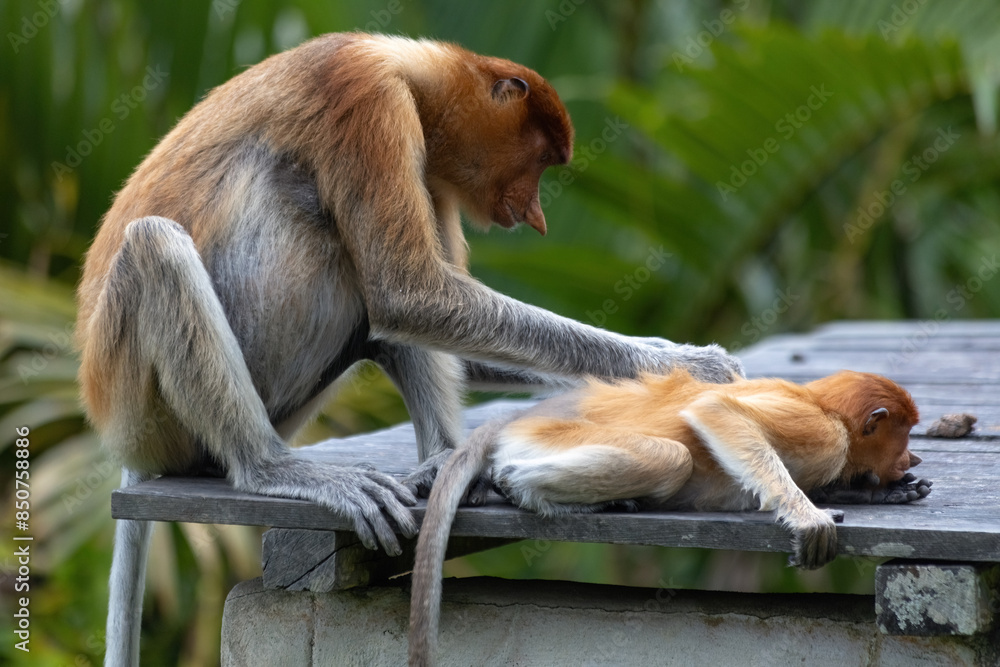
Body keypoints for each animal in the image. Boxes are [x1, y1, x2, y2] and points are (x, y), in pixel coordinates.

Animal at [75, 33, 744, 667]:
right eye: (541, 160)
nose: (536, 216)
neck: (408, 72)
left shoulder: (430, 171)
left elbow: (428, 318)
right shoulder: (369, 104)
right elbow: (412, 293)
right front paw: (688, 363)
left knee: (378, 320)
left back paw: (449, 467)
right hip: (144, 404)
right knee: (158, 244)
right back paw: (278, 469)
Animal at [409, 368, 930, 666]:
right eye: (903, 436)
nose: (912, 458)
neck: (824, 405)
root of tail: (517, 421)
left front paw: (887, 491)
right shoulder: (823, 434)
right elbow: (715, 410)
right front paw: (810, 519)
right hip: (549, 438)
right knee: (671, 458)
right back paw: (522, 486)